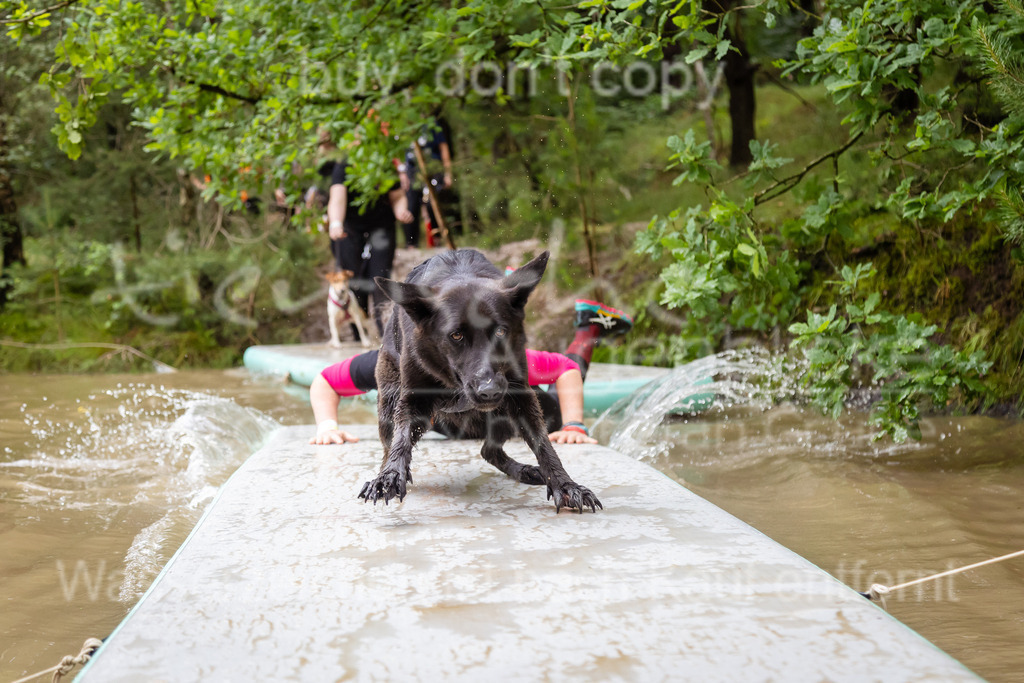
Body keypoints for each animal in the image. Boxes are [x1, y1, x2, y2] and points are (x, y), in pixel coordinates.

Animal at [360, 246, 598, 511]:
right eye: (456, 335)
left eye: (501, 331)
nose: (489, 391)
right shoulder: (413, 400)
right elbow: (401, 439)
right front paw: (390, 476)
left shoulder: (521, 395)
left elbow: (543, 444)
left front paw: (565, 485)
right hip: (389, 401)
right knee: (388, 445)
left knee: (489, 450)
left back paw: (522, 470)